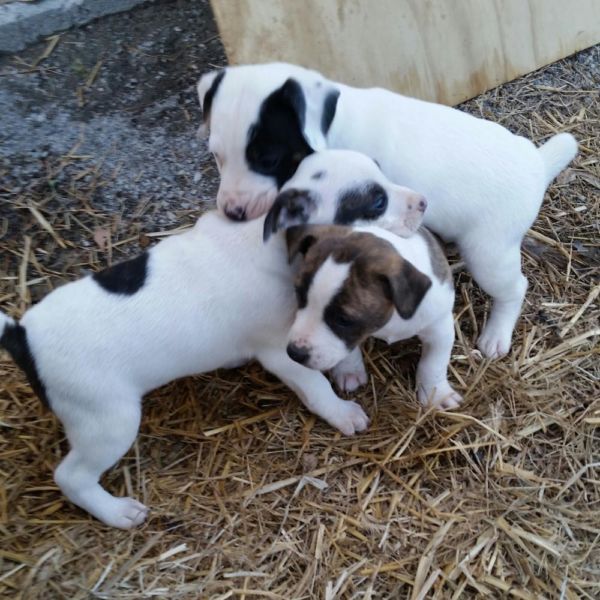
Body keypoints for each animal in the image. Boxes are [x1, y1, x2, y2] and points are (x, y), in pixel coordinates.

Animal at [197, 61, 576, 360]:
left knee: (515, 288)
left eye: (268, 159)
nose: (232, 212)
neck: (334, 125)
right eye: (215, 155)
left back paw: (496, 335)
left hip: (489, 253)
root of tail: (537, 164)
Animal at [284, 223, 462, 410]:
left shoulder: (440, 328)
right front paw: (349, 370)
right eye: (299, 295)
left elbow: (434, 363)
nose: (294, 353)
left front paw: (438, 394)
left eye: (343, 320)